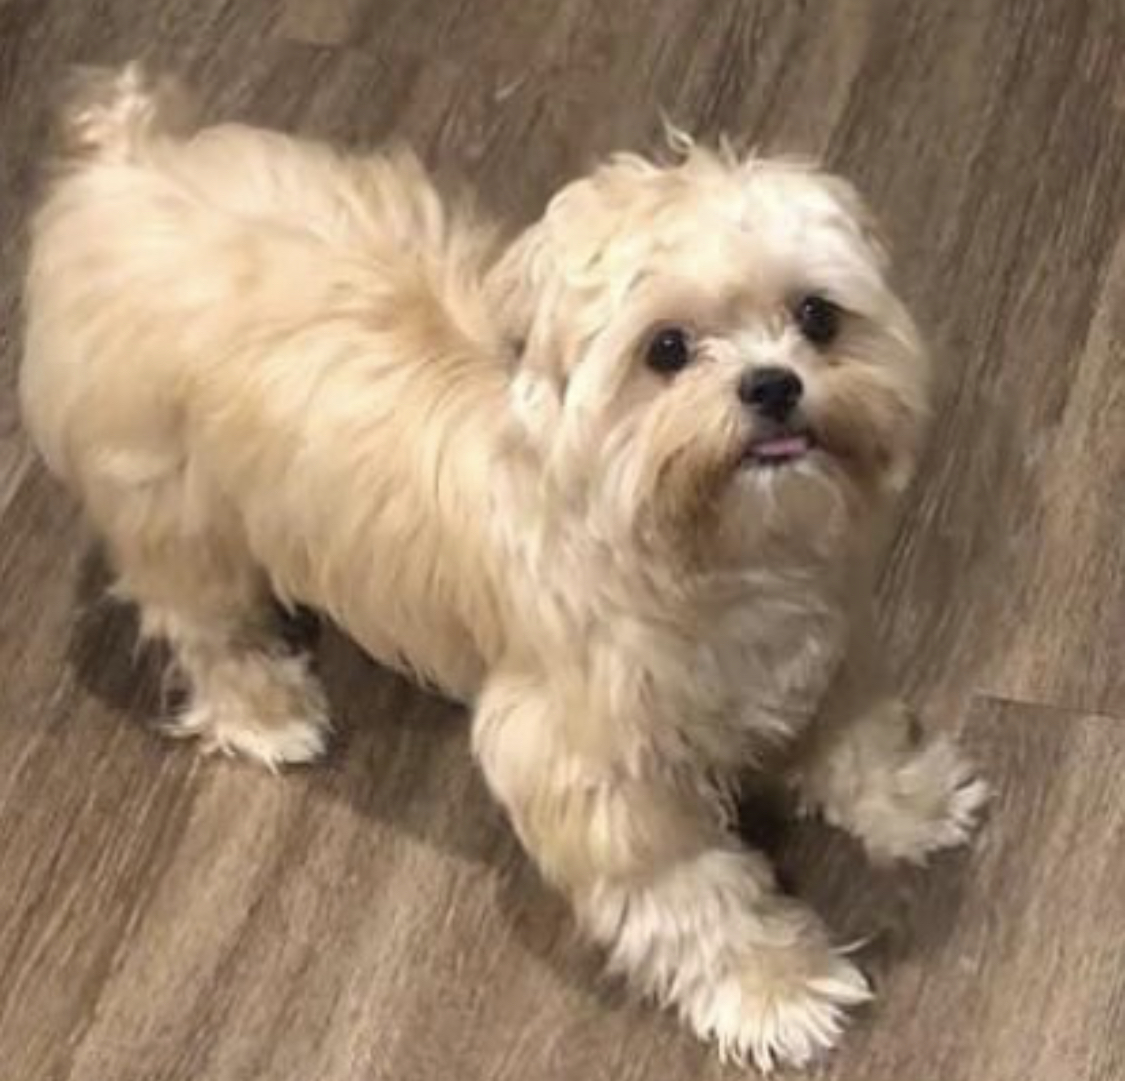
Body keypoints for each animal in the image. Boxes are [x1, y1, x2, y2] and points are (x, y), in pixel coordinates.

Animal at [17, 67, 985, 1070]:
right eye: (666, 349)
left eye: (816, 317)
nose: (771, 384)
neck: (698, 557)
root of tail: (124, 168)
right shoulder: (594, 768)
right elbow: (690, 889)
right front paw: (774, 985)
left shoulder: (819, 649)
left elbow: (856, 732)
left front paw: (908, 797)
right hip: (173, 510)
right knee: (202, 624)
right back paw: (269, 711)